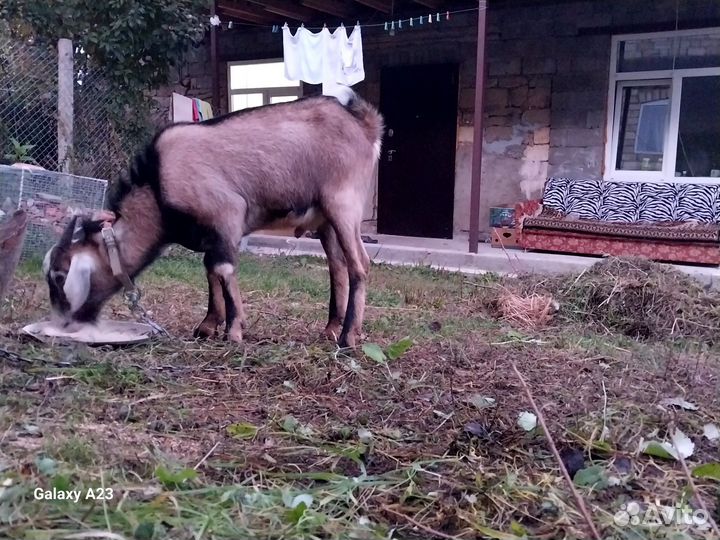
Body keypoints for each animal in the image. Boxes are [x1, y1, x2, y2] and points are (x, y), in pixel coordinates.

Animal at [42, 88, 384, 348]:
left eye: (60, 276)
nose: (64, 323)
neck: (158, 186)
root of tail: (364, 125)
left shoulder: (227, 214)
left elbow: (223, 268)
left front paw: (233, 331)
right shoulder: (211, 234)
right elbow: (209, 270)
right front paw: (208, 325)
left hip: (343, 203)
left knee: (359, 264)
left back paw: (348, 338)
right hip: (325, 219)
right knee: (337, 266)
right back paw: (331, 329)